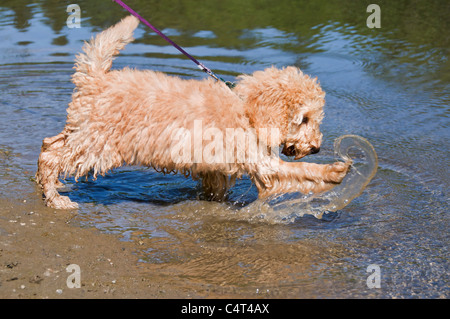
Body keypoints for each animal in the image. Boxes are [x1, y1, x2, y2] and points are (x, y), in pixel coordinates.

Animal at [36, 16, 352, 210]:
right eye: (304, 119)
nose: (316, 148)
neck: (246, 111)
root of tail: (96, 78)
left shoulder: (217, 166)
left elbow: (216, 187)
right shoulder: (261, 163)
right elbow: (299, 171)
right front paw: (334, 171)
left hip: (82, 130)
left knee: (49, 144)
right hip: (97, 145)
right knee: (54, 156)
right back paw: (55, 198)